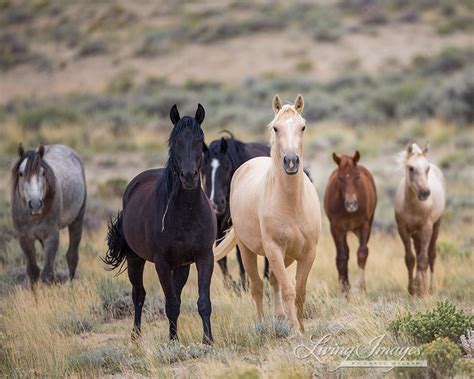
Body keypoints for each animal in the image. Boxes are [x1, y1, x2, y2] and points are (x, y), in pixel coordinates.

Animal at [10, 144, 86, 286]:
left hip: (77, 220)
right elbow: (33, 271)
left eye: (43, 173)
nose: (35, 204)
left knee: (72, 256)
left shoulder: (51, 236)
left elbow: (47, 275)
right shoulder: (24, 238)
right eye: (21, 173)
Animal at [104, 103, 217, 344]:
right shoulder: (161, 263)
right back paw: (136, 335)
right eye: (175, 141)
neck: (186, 214)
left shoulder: (204, 257)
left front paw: (208, 340)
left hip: (182, 266)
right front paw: (173, 341)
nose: (189, 176)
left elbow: (203, 302)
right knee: (138, 294)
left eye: (200, 139)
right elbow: (171, 305)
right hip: (135, 259)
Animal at [202, 136, 272, 290]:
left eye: (226, 167)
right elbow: (221, 258)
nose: (216, 203)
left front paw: (243, 284)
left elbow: (240, 256)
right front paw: (230, 286)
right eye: (204, 169)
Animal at [216, 95, 322, 332]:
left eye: (303, 126)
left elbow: (299, 292)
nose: (291, 161)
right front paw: (296, 331)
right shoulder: (273, 249)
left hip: (287, 256)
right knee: (256, 286)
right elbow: (289, 290)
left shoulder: (308, 253)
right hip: (247, 250)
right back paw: (262, 324)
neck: (292, 205)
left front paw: (300, 327)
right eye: (275, 128)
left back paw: (281, 317)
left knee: (273, 281)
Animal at [324, 151, 376, 294]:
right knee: (344, 254)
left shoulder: (364, 225)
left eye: (357, 177)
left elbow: (362, 253)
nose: (351, 204)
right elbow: (341, 257)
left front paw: (362, 288)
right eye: (340, 178)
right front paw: (344, 290)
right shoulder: (336, 228)